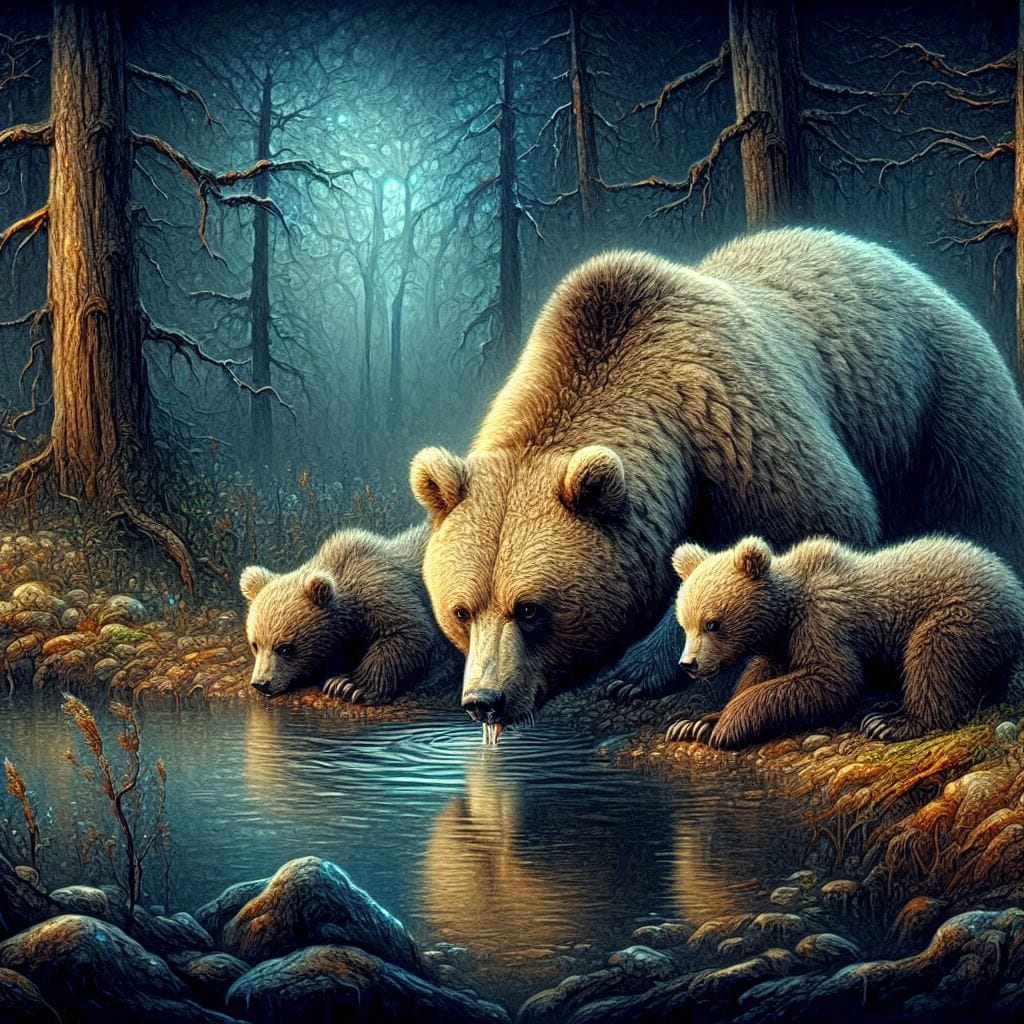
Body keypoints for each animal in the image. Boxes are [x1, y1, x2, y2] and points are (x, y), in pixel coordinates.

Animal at [240, 523, 459, 703]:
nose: (261, 683)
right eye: (255, 645)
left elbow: (409, 632)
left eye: (285, 648)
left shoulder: (382, 590)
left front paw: (347, 686)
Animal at [666, 534, 1024, 749]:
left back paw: (890, 722)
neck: (786, 614)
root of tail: (1012, 584)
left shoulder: (824, 623)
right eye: (685, 625)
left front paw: (726, 726)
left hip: (959, 614)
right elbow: (758, 675)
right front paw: (694, 724)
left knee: (934, 661)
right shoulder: (782, 645)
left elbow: (833, 680)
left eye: (712, 623)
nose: (688, 664)